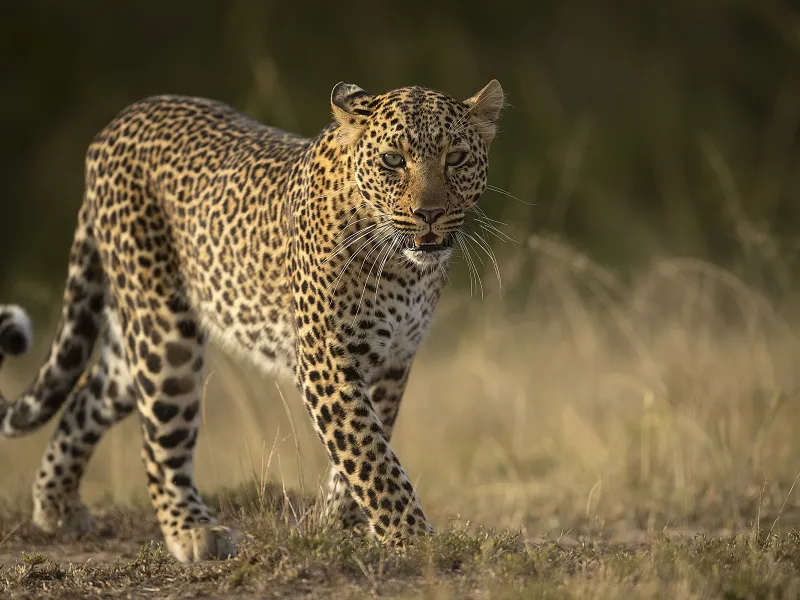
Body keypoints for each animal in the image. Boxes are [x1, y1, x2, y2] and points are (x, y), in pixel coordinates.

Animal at [0, 79, 505, 562]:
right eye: (393, 160)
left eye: (456, 158)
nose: (430, 213)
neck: (403, 268)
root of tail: (112, 127)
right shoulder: (326, 362)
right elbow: (370, 457)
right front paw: (412, 539)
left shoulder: (392, 361)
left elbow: (360, 453)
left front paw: (336, 526)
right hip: (164, 334)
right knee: (159, 440)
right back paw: (193, 530)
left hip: (132, 347)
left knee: (86, 395)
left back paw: (56, 505)